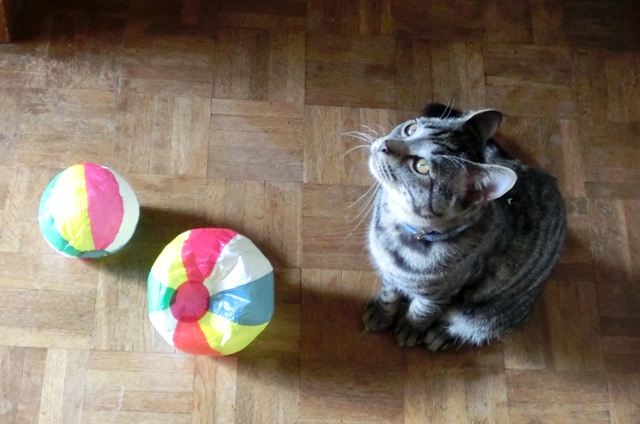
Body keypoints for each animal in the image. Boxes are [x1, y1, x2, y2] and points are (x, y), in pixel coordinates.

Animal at [362, 102, 566, 351]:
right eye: (410, 129)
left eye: (421, 166)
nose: (384, 144)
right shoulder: (392, 273)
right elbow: (389, 293)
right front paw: (382, 313)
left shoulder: (440, 294)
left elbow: (422, 311)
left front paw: (411, 328)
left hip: (487, 316)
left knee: (468, 326)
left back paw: (440, 335)